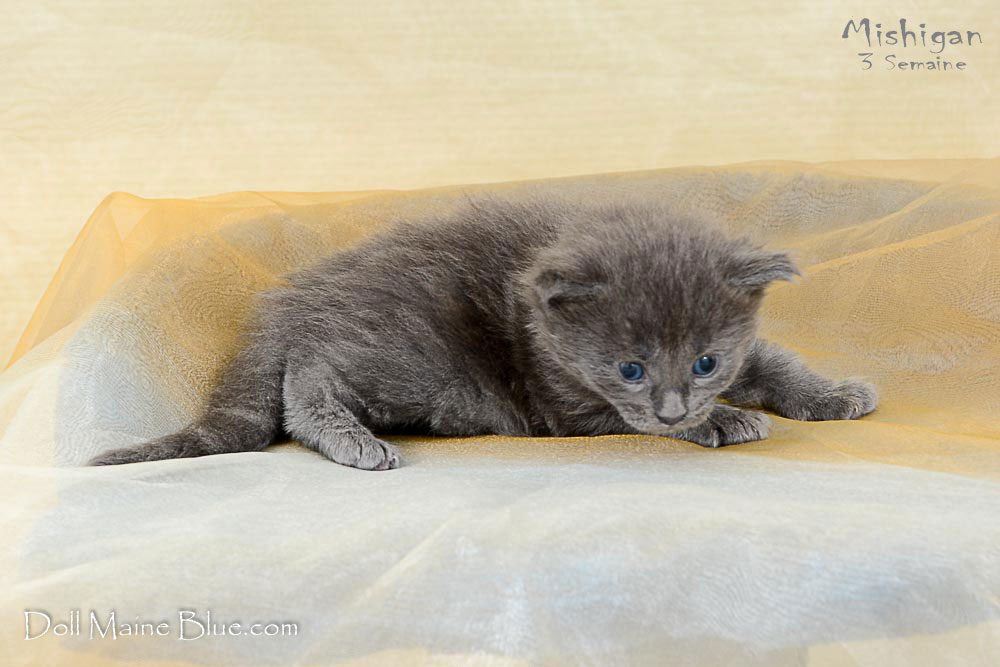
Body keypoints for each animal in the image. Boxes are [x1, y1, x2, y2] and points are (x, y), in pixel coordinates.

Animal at [89, 196, 878, 470]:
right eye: (630, 369)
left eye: (706, 361)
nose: (676, 405)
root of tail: (294, 298)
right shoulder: (568, 403)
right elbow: (627, 422)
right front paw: (720, 423)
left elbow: (777, 361)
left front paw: (835, 393)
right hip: (415, 358)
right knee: (307, 378)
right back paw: (352, 439)